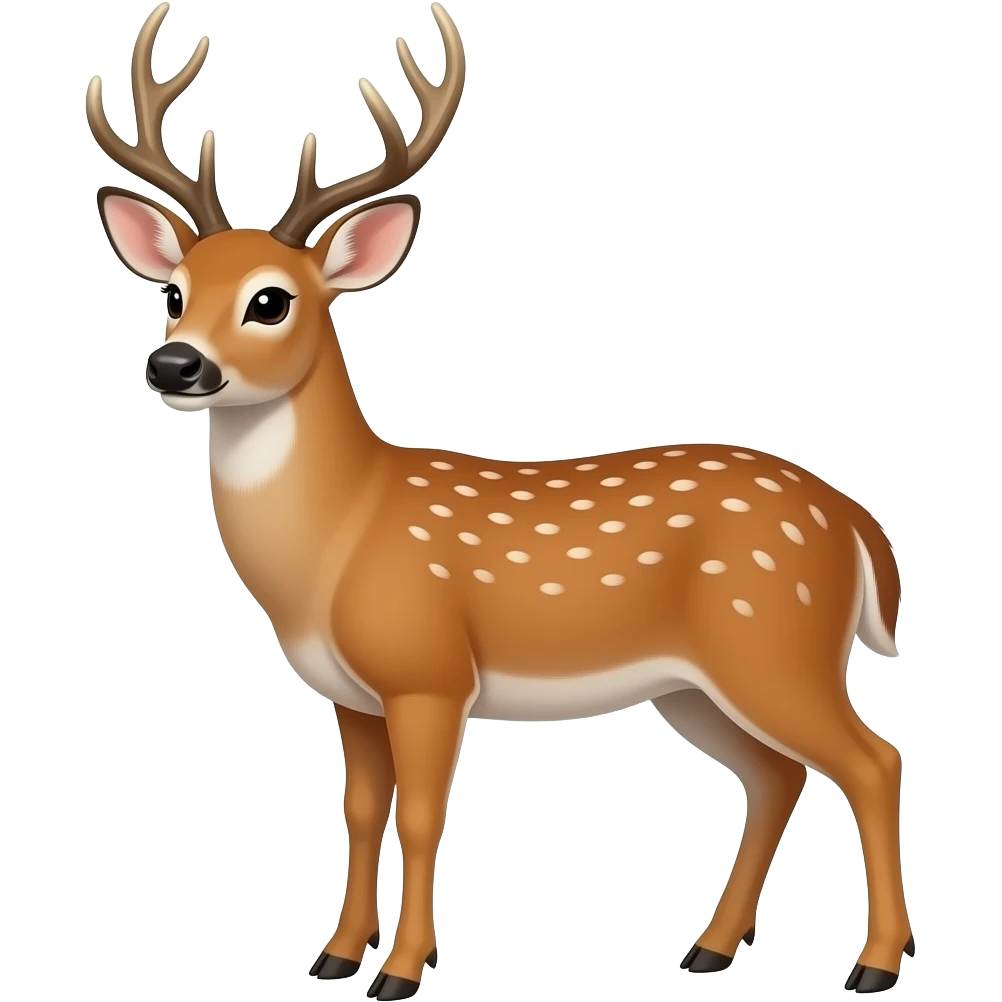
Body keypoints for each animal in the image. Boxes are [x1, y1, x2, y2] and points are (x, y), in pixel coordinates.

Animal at [86, 3, 912, 997]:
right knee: (777, 777)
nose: (174, 365)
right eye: (174, 293)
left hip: (775, 638)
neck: (340, 538)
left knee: (872, 761)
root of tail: (855, 519)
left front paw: (402, 970)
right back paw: (709, 948)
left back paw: (873, 964)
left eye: (271, 301)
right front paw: (335, 955)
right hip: (697, 683)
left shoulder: (429, 669)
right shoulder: (350, 693)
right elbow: (360, 810)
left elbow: (421, 817)